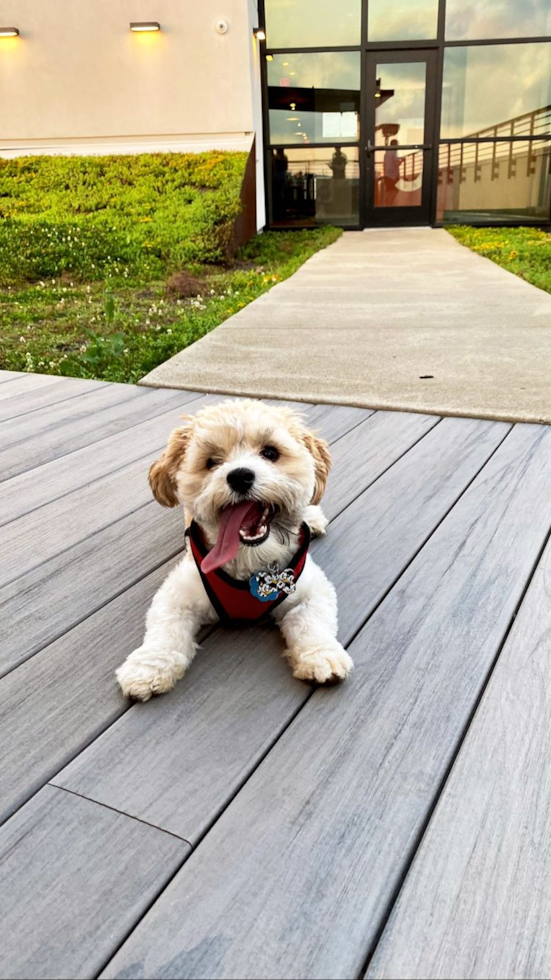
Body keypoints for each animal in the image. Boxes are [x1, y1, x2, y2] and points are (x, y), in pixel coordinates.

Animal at [116, 400, 354, 704]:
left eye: (270, 452)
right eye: (211, 462)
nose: (240, 475)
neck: (251, 562)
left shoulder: (311, 589)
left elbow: (311, 622)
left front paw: (321, 656)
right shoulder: (177, 593)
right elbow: (164, 630)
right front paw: (148, 668)